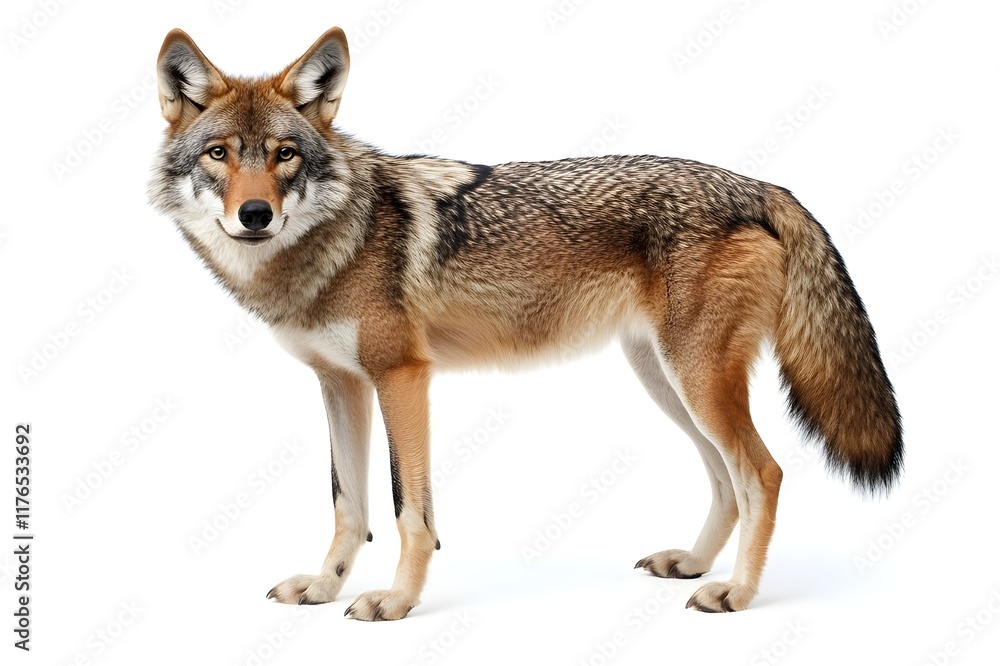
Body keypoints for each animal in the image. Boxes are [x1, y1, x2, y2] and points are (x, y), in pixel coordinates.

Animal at [149, 27, 903, 621]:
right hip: (667, 382)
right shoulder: (342, 386)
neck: (334, 242)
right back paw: (694, 564)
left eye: (284, 154)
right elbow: (349, 508)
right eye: (219, 154)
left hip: (695, 381)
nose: (255, 215)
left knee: (763, 475)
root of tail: (759, 185)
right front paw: (323, 588)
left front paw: (397, 602)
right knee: (725, 480)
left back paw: (737, 594)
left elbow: (408, 511)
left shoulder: (402, 378)